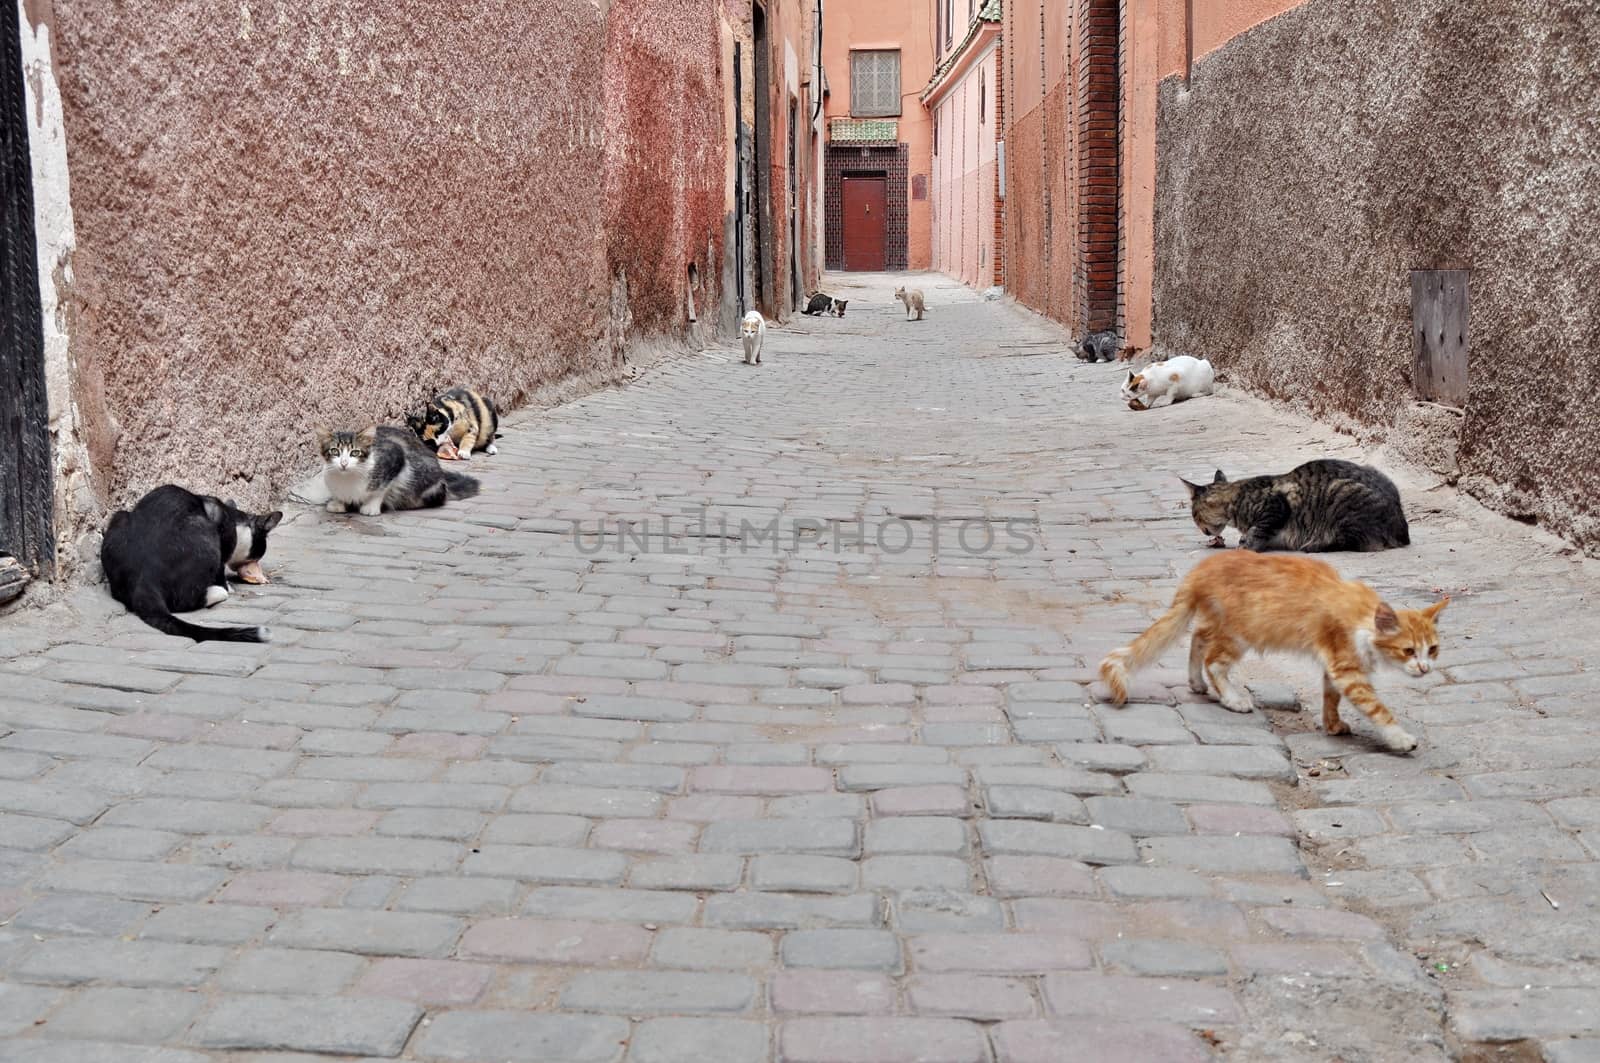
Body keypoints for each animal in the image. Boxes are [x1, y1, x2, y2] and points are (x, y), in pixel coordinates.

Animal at [101, 486, 283, 643]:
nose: (255, 564)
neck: (234, 519)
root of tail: (144, 578)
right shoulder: (224, 539)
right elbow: (221, 570)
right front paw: (228, 586)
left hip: (119, 517)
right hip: (205, 534)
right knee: (185, 601)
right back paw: (217, 591)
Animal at [315, 422, 476, 515]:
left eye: (355, 452)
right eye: (334, 451)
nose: (344, 463)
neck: (347, 478)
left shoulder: (396, 456)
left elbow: (382, 489)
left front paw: (371, 506)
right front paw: (338, 502)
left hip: (430, 487)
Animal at [1100, 550, 1452, 752]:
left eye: (1433, 649)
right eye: (1409, 651)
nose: (1425, 669)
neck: (1363, 619)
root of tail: (1202, 568)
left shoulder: (1334, 664)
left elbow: (1331, 696)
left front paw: (1332, 724)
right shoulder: (1347, 667)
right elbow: (1377, 708)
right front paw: (1399, 738)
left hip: (1219, 621)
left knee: (1198, 638)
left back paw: (1196, 682)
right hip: (1240, 632)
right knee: (1214, 660)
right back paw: (1231, 698)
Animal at [1184, 457, 1408, 550]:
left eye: (1194, 516)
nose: (1202, 530)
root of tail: (1402, 529)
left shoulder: (1275, 508)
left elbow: (1258, 530)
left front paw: (1246, 545)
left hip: (1341, 495)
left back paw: (1314, 545)